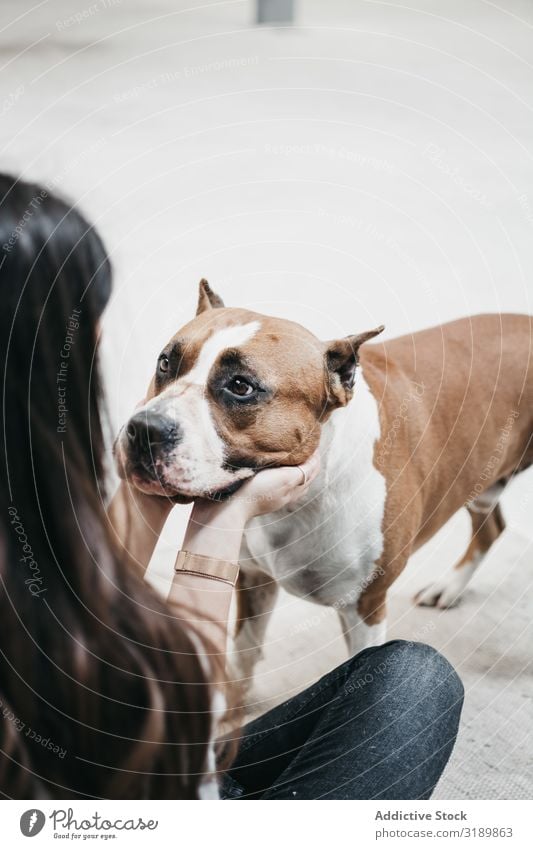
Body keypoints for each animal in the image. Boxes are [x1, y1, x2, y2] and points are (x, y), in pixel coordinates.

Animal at [115, 282, 532, 680]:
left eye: (241, 386)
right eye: (165, 363)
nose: (145, 428)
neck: (298, 504)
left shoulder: (365, 607)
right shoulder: (252, 580)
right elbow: (240, 663)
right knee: (492, 525)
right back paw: (449, 587)